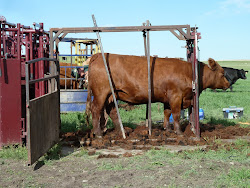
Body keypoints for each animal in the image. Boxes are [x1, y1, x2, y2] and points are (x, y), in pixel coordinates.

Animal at [86, 53, 230, 137]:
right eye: (222, 73)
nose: (228, 84)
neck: (189, 73)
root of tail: (97, 56)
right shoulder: (176, 96)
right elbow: (176, 114)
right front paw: (179, 132)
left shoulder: (168, 99)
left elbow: (167, 113)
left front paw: (167, 129)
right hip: (101, 93)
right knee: (96, 110)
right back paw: (98, 133)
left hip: (111, 95)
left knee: (112, 111)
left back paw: (122, 131)